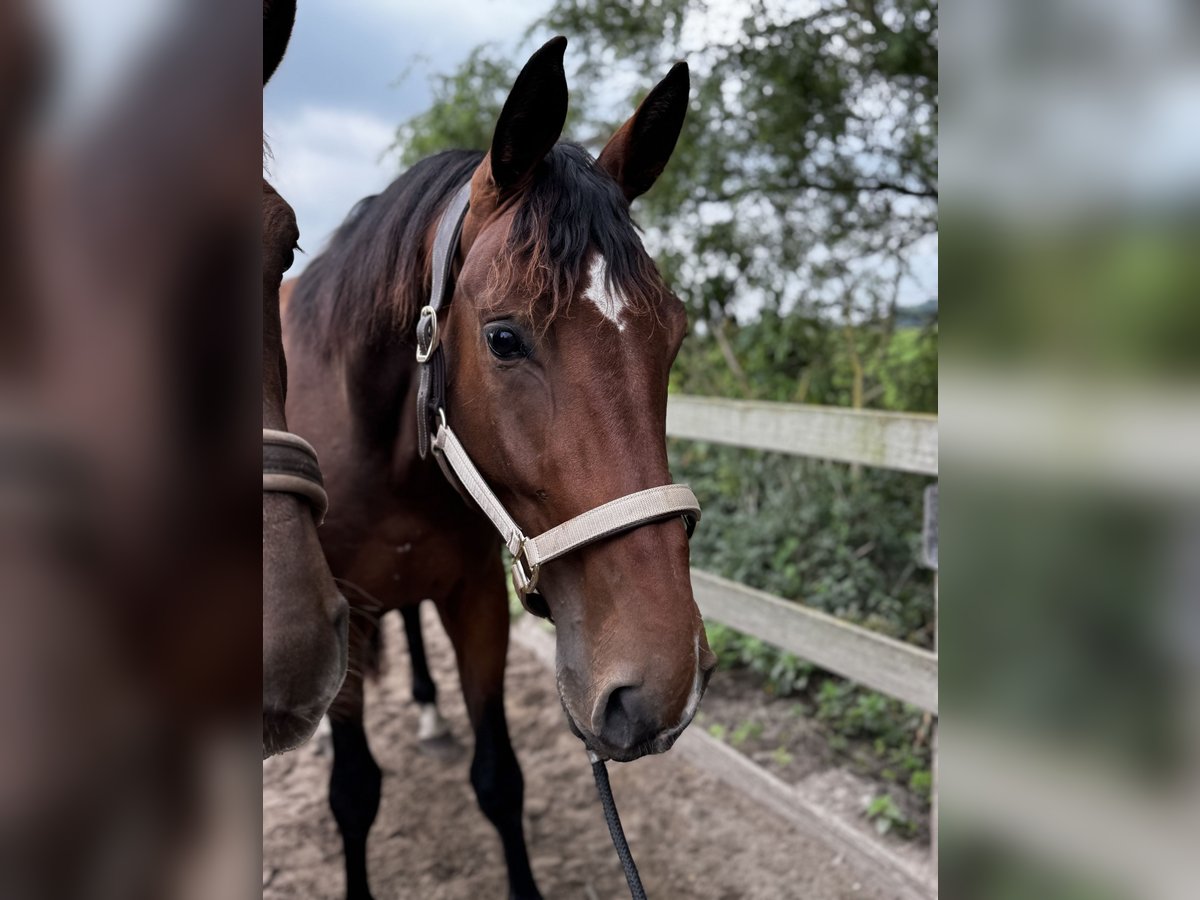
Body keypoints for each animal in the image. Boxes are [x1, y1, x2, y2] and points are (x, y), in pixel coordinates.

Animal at [283, 37, 716, 899]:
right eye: (504, 338)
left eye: (675, 335)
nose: (664, 685)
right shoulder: (346, 616)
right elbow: (354, 793)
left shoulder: (477, 597)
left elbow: (499, 778)